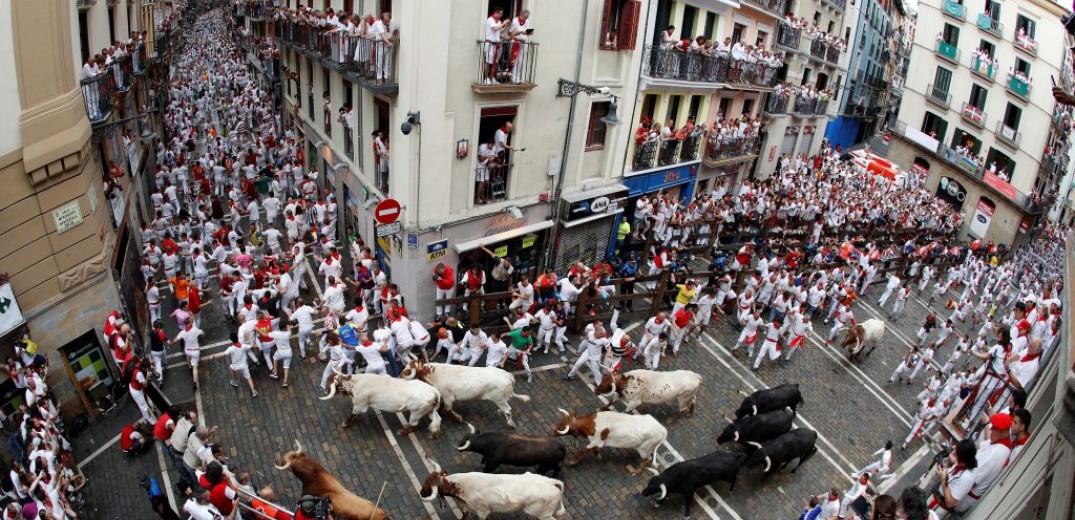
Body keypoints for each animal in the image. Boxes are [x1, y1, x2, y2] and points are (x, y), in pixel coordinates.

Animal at [397, 358, 531, 427]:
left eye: (407, 370)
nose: (399, 375)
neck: (434, 374)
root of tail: (507, 375)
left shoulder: (448, 397)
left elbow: (448, 409)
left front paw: (458, 418)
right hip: (502, 398)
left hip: (499, 398)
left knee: (508, 410)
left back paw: (509, 422)